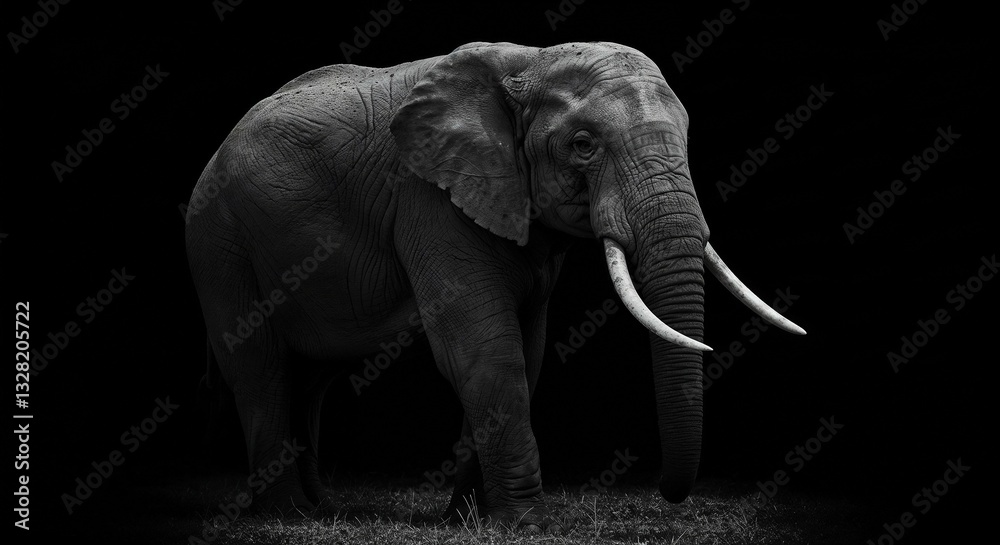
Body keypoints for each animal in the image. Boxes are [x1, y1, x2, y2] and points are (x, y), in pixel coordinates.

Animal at [185, 41, 805, 529]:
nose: (667, 493)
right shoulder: (429, 198)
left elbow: (527, 350)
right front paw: (524, 523)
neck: (531, 62)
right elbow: (482, 348)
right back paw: (286, 514)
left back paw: (318, 509)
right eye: (583, 144)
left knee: (312, 378)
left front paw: (469, 518)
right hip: (218, 241)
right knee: (260, 369)